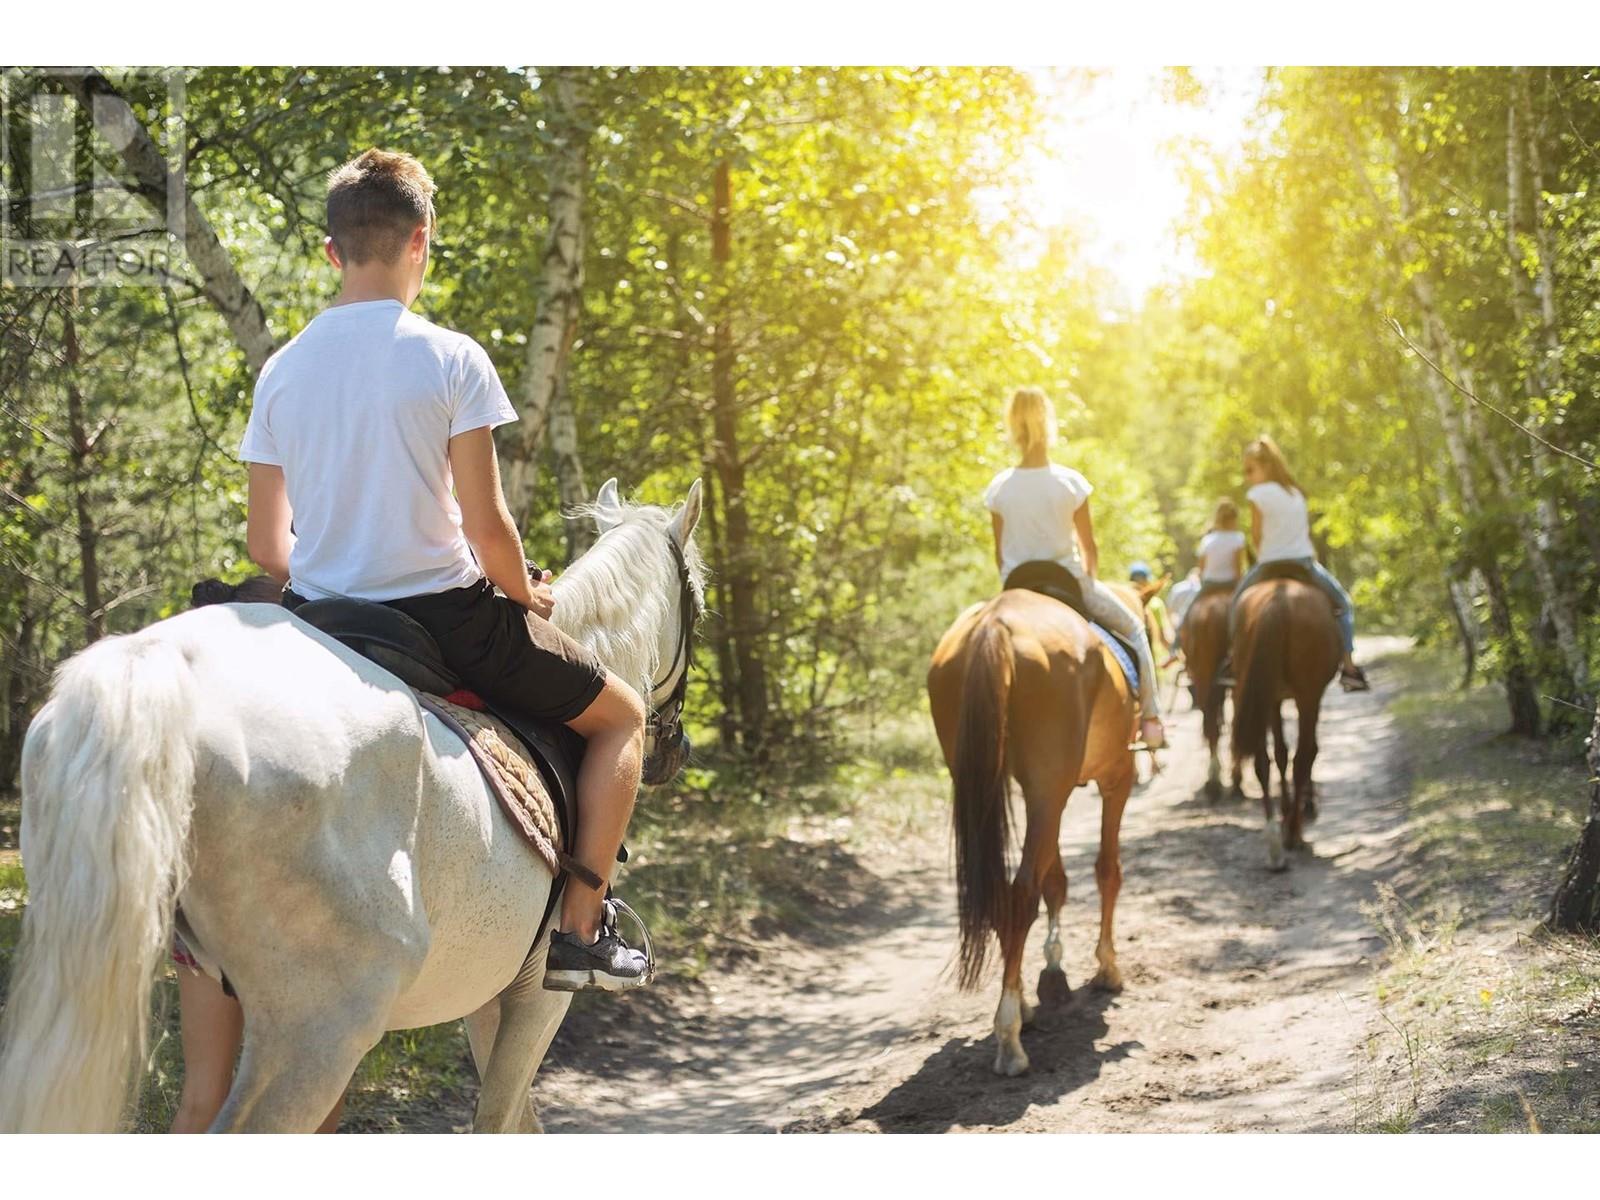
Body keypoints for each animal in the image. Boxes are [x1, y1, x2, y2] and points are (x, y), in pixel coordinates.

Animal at [0, 473, 707, 1132]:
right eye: (699, 600)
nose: (674, 749)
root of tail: (160, 665)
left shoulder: (489, 995)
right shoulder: (538, 994)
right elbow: (500, 1119)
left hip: (212, 991)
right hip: (322, 1028)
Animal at [928, 585, 1139, 1081]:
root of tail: (995, 625)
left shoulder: (1048, 794)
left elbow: (1055, 879)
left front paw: (1053, 973)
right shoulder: (1116, 778)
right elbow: (1107, 870)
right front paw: (1107, 968)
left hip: (989, 782)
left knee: (1004, 896)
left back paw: (1020, 1006)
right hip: (1049, 787)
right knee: (1020, 894)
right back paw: (1010, 1038)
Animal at [1228, 579, 1344, 870]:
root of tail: (1278, 601)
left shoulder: (1273, 698)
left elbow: (1280, 753)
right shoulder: (1308, 697)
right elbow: (1306, 752)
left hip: (1262, 692)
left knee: (1263, 761)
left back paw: (1275, 842)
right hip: (1307, 695)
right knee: (1303, 757)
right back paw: (1293, 834)